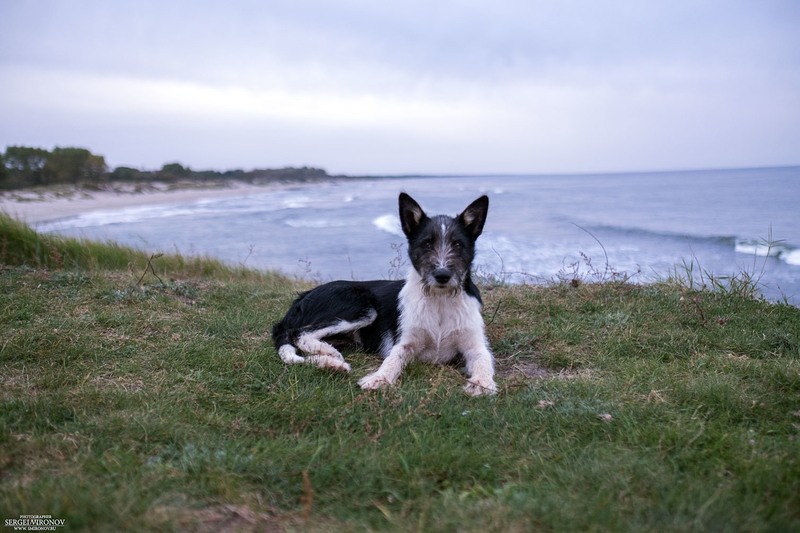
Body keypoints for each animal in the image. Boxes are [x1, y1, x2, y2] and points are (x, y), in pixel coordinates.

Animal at [272, 191, 496, 394]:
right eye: (426, 243)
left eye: (458, 244)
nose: (442, 275)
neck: (439, 300)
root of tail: (302, 297)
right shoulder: (404, 342)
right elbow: (393, 359)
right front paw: (378, 378)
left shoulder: (474, 343)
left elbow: (484, 359)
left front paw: (483, 383)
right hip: (361, 306)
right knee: (299, 333)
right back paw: (330, 355)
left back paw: (330, 363)